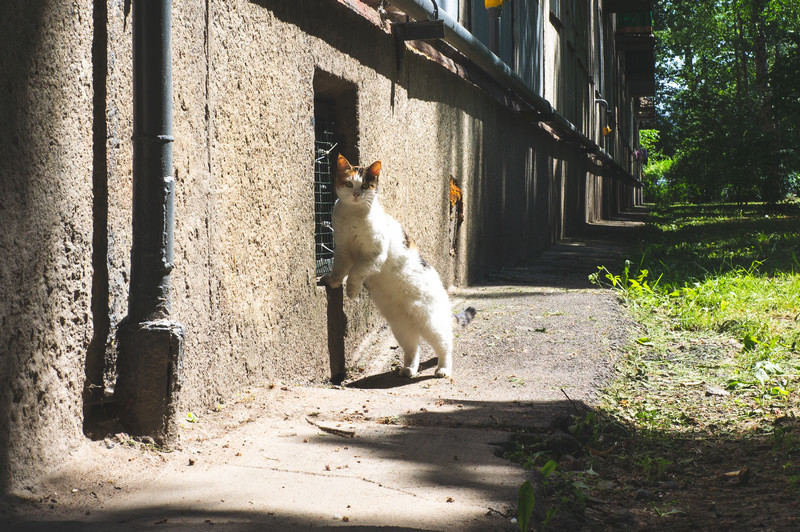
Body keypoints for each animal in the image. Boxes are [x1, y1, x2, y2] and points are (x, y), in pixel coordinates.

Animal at [320, 154, 476, 378]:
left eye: (365, 185)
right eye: (349, 184)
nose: (357, 194)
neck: (352, 215)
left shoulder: (374, 255)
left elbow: (356, 271)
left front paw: (351, 291)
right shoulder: (342, 250)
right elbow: (339, 270)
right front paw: (332, 282)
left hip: (431, 323)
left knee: (445, 344)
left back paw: (443, 369)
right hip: (401, 327)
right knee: (413, 348)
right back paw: (409, 369)